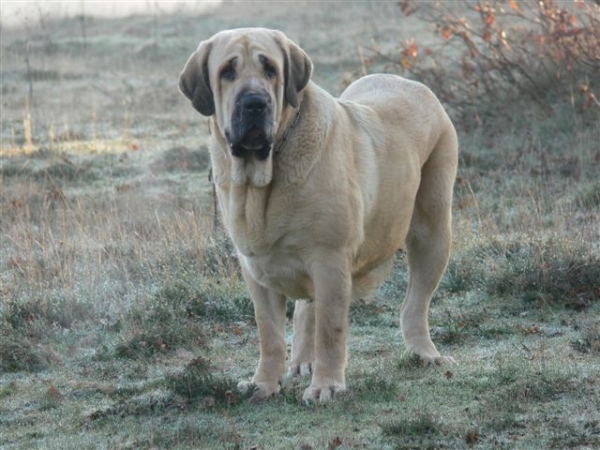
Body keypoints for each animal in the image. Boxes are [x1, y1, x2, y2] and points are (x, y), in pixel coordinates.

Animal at [178, 28, 460, 402]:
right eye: (227, 71)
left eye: (270, 69)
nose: (255, 102)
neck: (266, 177)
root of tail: (416, 86)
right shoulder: (256, 271)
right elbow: (269, 332)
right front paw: (264, 383)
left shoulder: (329, 261)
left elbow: (330, 328)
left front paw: (327, 386)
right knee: (305, 309)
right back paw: (301, 361)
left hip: (432, 232)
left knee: (416, 303)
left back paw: (425, 353)